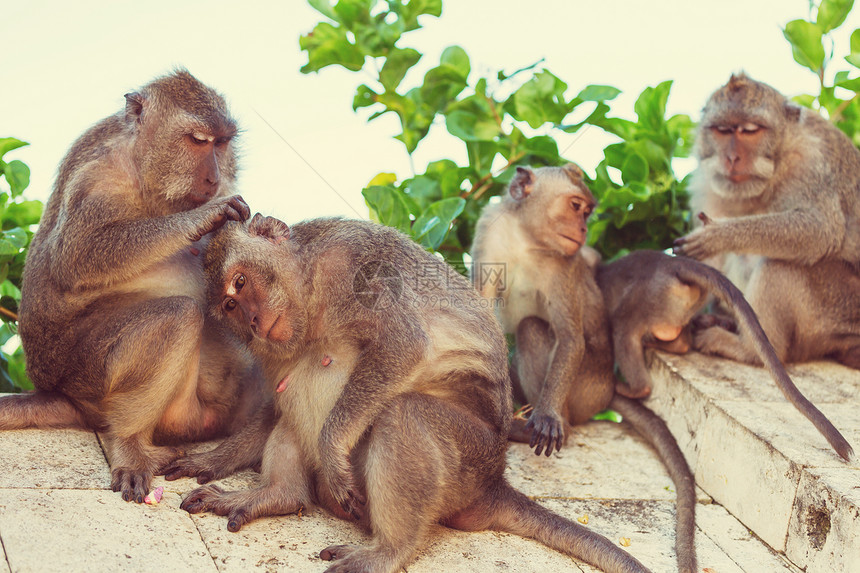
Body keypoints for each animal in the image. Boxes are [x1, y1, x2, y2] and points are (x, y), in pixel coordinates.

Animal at [0, 69, 264, 502]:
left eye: (222, 143)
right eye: (198, 140)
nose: (213, 177)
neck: (144, 171)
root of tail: (60, 394)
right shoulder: (96, 179)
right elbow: (77, 256)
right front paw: (203, 218)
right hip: (88, 373)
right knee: (177, 315)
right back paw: (130, 443)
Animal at [168, 213, 652, 572]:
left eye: (240, 282)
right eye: (230, 305)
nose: (251, 320)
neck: (310, 295)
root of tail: (493, 484)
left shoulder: (352, 264)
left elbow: (403, 345)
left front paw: (331, 447)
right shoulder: (273, 348)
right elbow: (274, 404)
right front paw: (213, 459)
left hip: (470, 464)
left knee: (405, 413)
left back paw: (389, 549)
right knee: (292, 409)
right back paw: (277, 495)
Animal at [470, 165, 700, 572]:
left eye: (588, 211)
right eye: (576, 206)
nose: (582, 230)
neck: (526, 239)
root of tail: (606, 388)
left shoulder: (563, 266)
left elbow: (569, 337)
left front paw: (546, 416)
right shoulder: (490, 233)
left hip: (583, 389)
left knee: (531, 329)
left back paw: (536, 422)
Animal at [596, 249, 852, 460]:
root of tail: (673, 263)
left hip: (649, 296)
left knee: (624, 329)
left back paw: (635, 387)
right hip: (674, 303)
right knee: (675, 338)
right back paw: (674, 344)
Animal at [676, 71, 860, 370]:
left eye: (750, 131)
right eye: (722, 131)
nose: (732, 157)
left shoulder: (812, 163)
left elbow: (820, 230)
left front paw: (719, 235)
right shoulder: (708, 183)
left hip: (838, 311)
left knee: (779, 265)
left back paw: (749, 351)